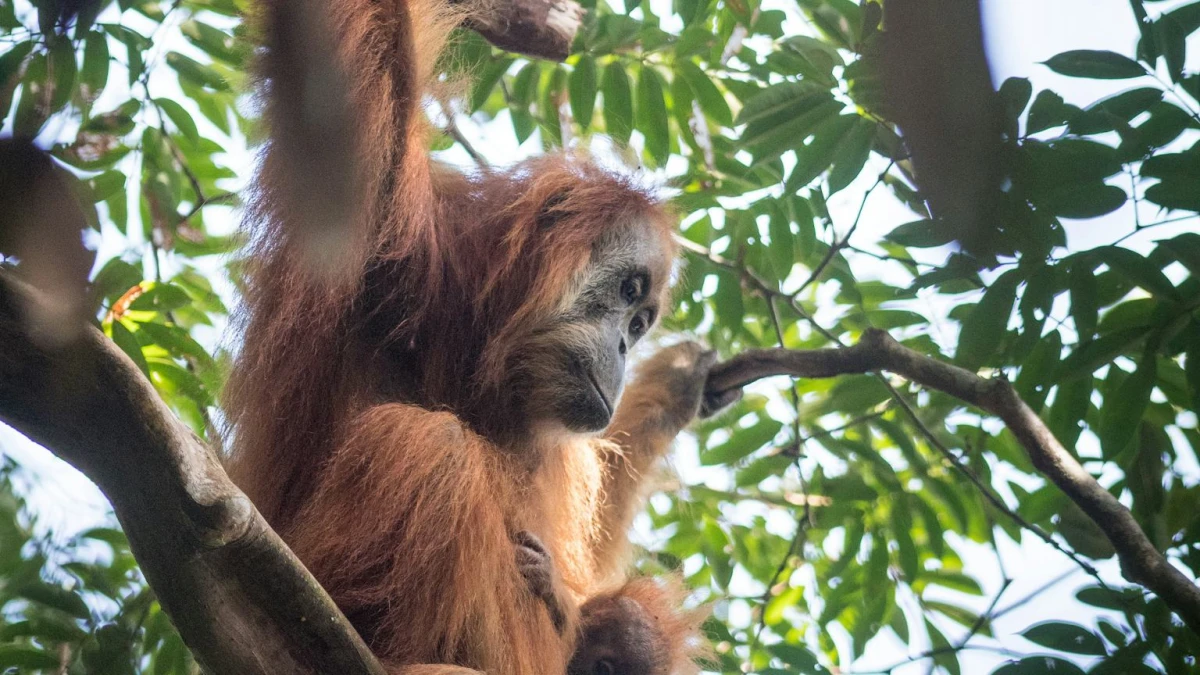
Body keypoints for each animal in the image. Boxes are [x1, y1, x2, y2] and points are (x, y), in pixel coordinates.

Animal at [224, 0, 742, 672]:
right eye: (629, 293)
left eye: (638, 323)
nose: (627, 347)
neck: (475, 357)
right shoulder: (387, 242)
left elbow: (587, 560)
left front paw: (679, 383)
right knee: (433, 443)